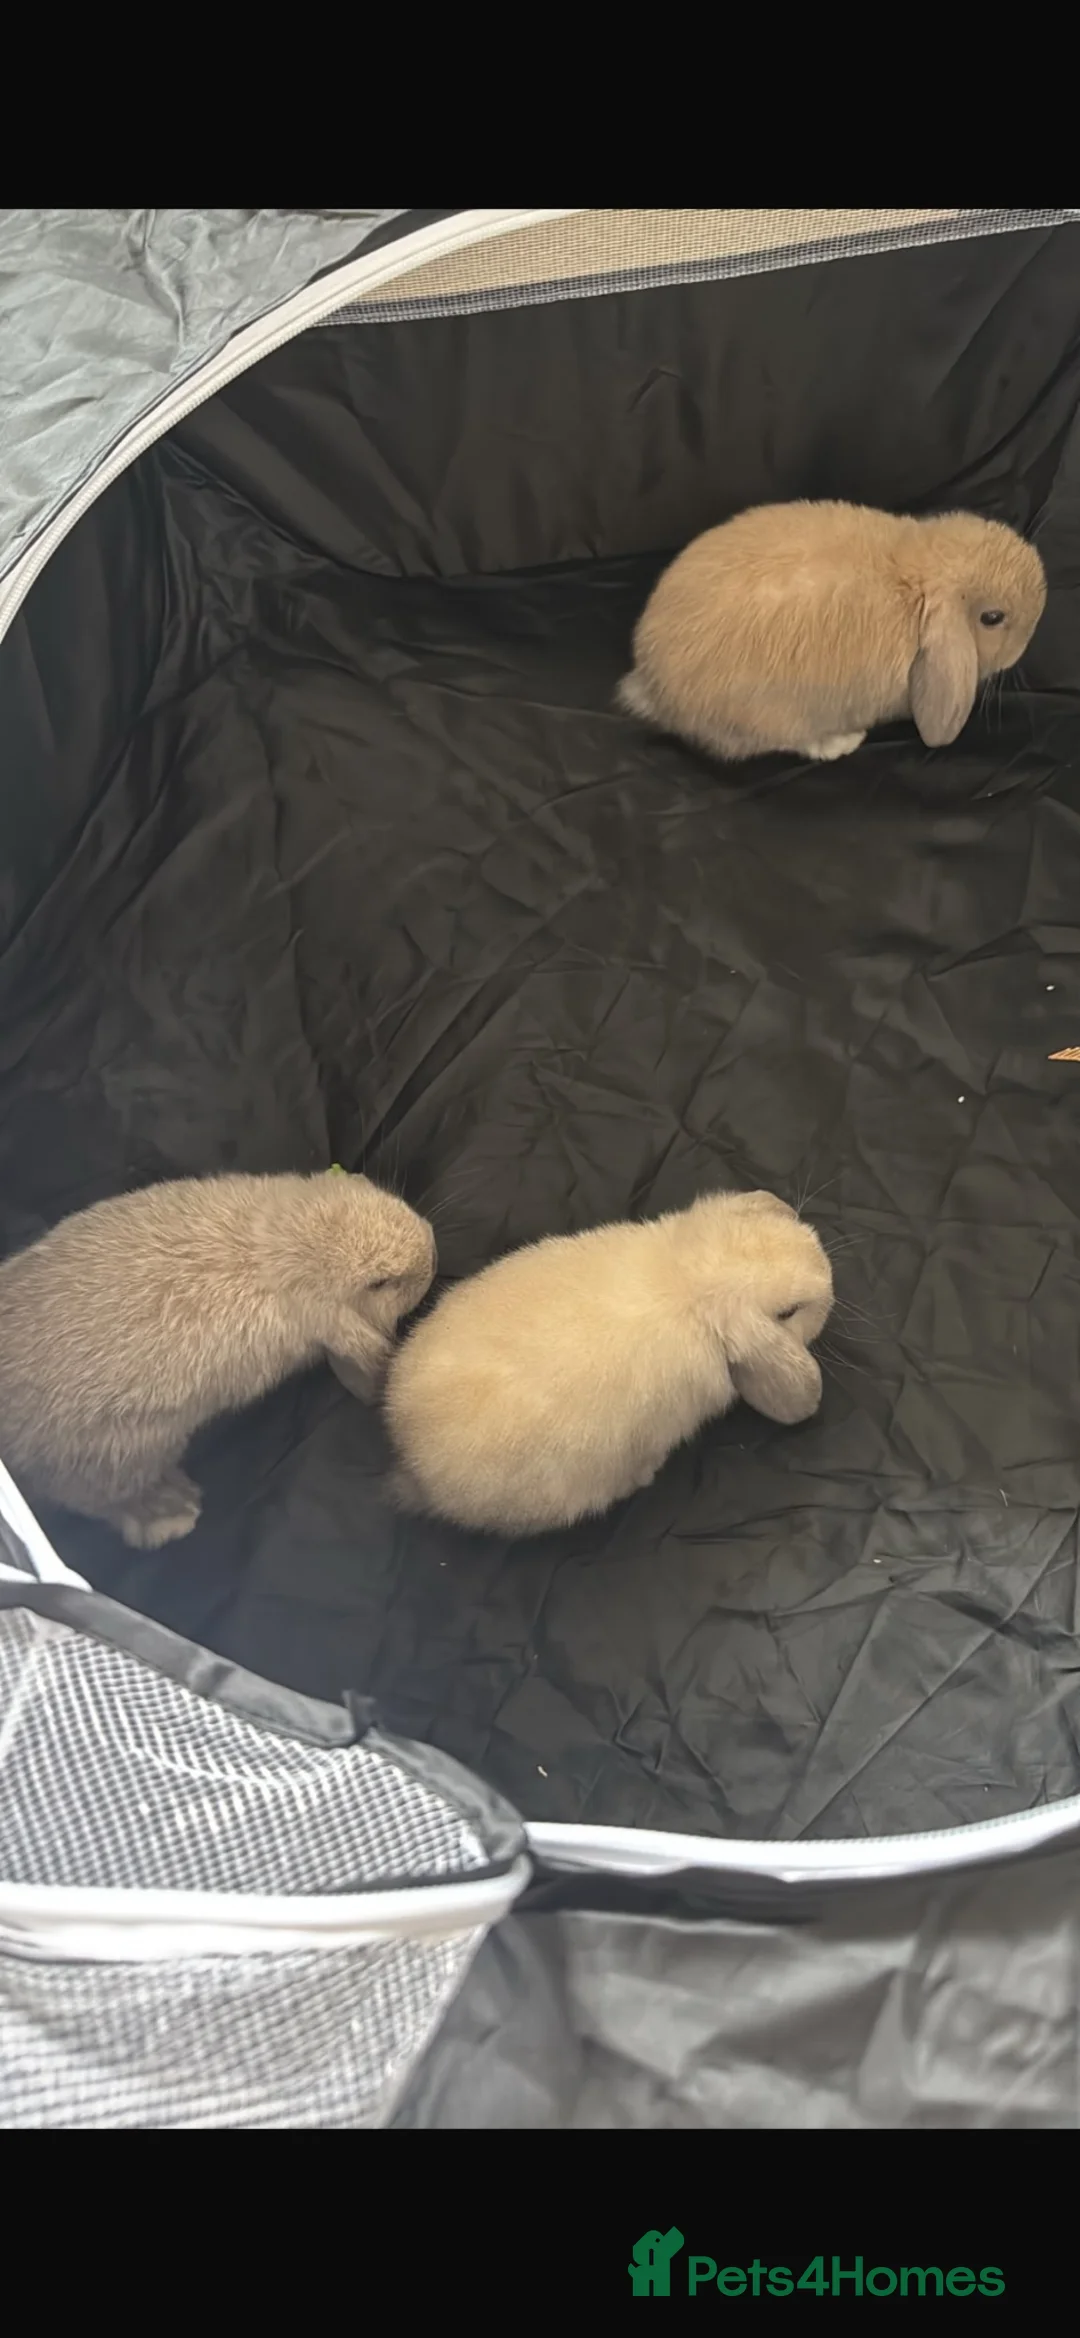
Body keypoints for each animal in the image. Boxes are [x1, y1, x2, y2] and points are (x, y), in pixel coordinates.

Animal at [0, 1170, 436, 1548]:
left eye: (384, 1194)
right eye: (380, 1282)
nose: (432, 1251)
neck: (277, 1246)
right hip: (117, 1456)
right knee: (105, 1500)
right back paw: (172, 1511)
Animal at [617, 499, 1047, 763]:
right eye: (992, 618)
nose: (1029, 641)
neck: (916, 580)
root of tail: (652, 684)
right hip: (777, 715)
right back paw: (842, 741)